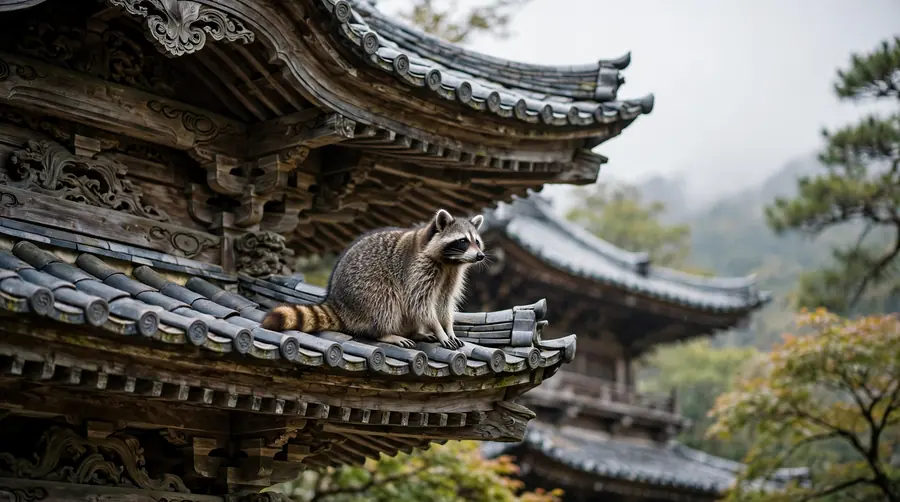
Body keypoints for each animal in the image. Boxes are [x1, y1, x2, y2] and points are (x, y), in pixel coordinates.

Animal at [261, 209, 486, 349]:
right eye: (463, 241)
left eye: (477, 241)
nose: (480, 256)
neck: (450, 262)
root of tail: (336, 301)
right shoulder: (417, 270)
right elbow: (419, 304)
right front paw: (439, 329)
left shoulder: (451, 275)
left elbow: (443, 303)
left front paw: (448, 328)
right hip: (366, 288)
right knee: (385, 301)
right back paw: (385, 333)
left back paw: (414, 332)